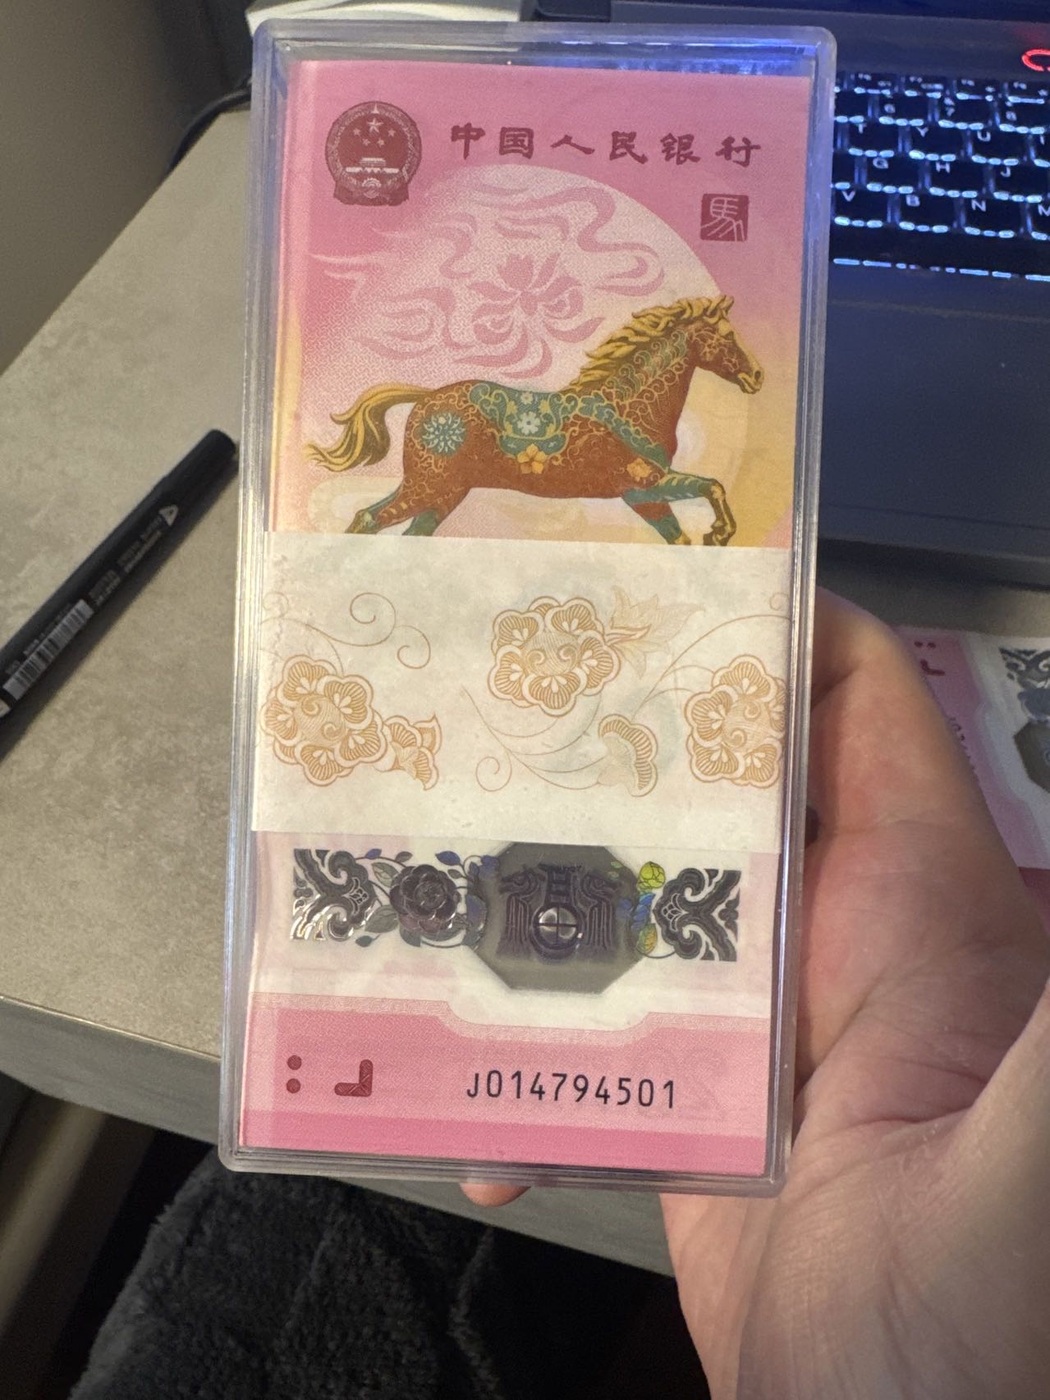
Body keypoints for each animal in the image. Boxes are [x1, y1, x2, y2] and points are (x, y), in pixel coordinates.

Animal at [306, 295, 763, 545]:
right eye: (726, 336)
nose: (756, 376)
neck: (629, 405)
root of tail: (425, 399)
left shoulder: (644, 497)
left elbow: (682, 535)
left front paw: (713, 536)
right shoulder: (642, 486)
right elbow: (713, 485)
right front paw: (720, 532)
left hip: (440, 493)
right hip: (427, 487)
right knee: (368, 519)